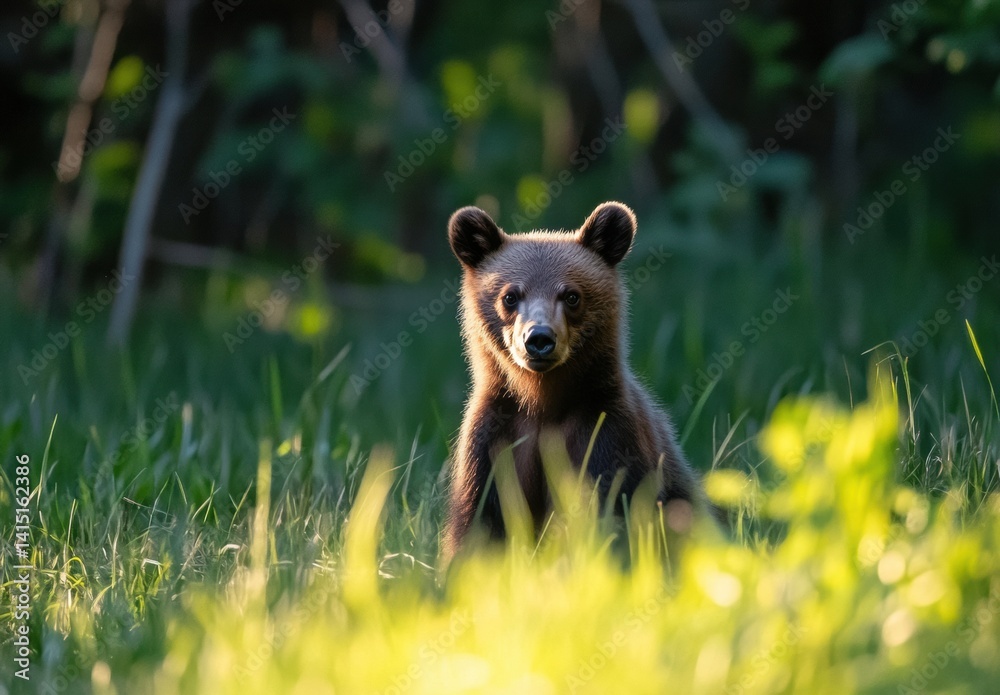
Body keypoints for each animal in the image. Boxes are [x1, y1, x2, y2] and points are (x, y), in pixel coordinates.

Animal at [442, 201, 704, 559]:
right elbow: (478, 524)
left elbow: (617, 514)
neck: (544, 402)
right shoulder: (494, 440)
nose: (539, 338)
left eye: (571, 295)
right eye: (510, 296)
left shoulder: (607, 434)